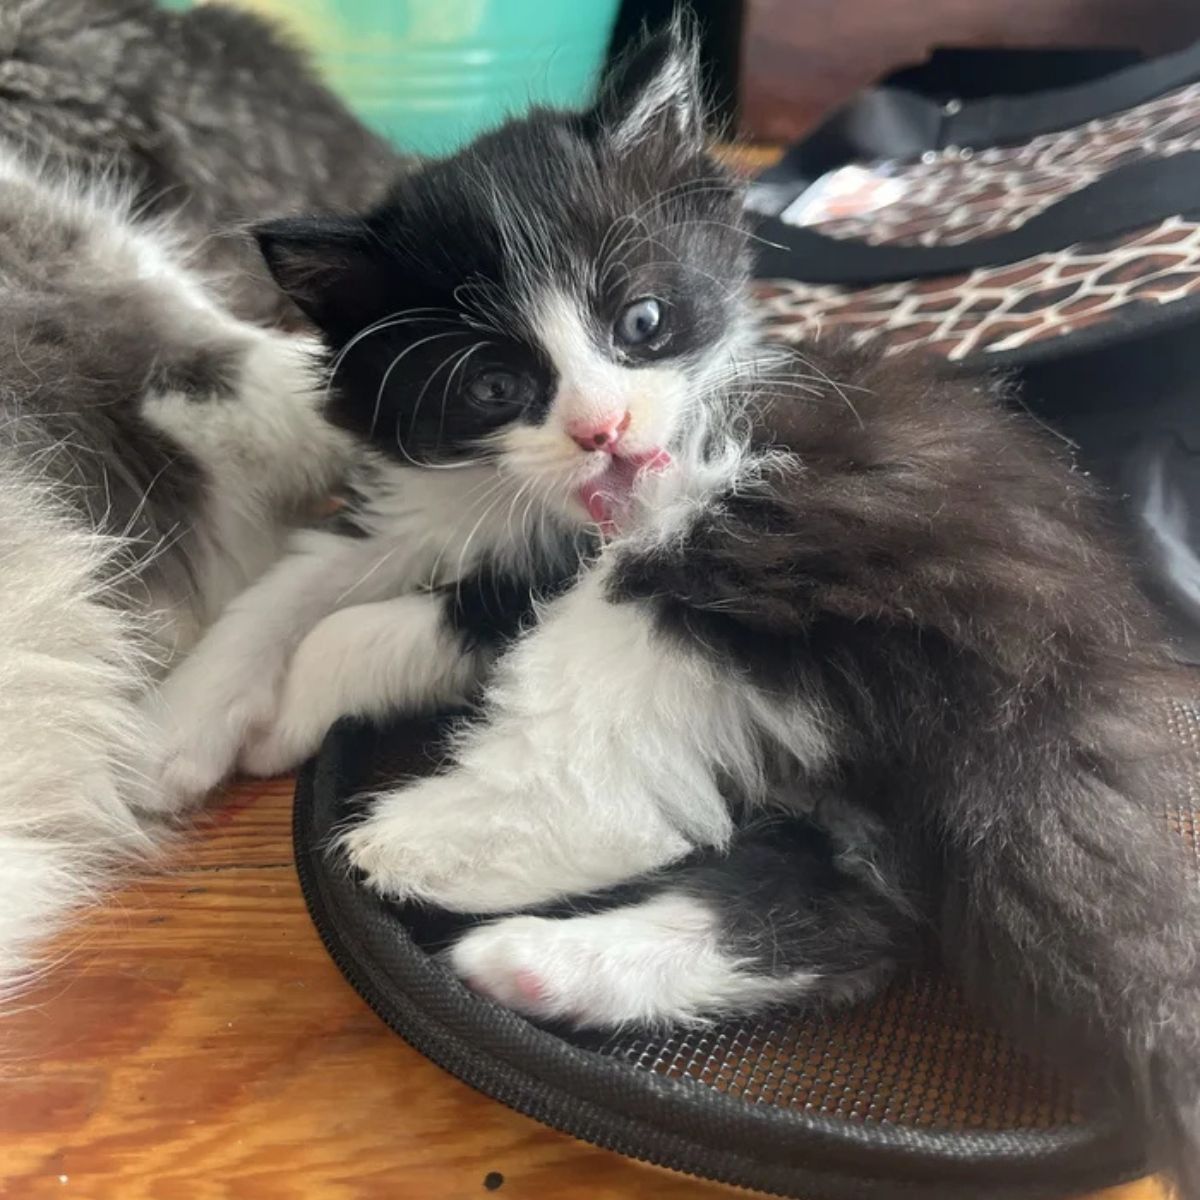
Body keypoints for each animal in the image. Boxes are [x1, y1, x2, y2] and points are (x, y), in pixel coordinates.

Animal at [150, 25, 1200, 1190]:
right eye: (492, 388)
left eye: (641, 322)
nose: (605, 431)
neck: (533, 502)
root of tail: (1060, 678)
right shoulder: (434, 507)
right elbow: (298, 580)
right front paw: (183, 725)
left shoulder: (566, 562)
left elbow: (372, 622)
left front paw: (289, 710)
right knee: (851, 914)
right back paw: (537, 967)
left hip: (739, 554)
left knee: (617, 799)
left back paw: (405, 847)